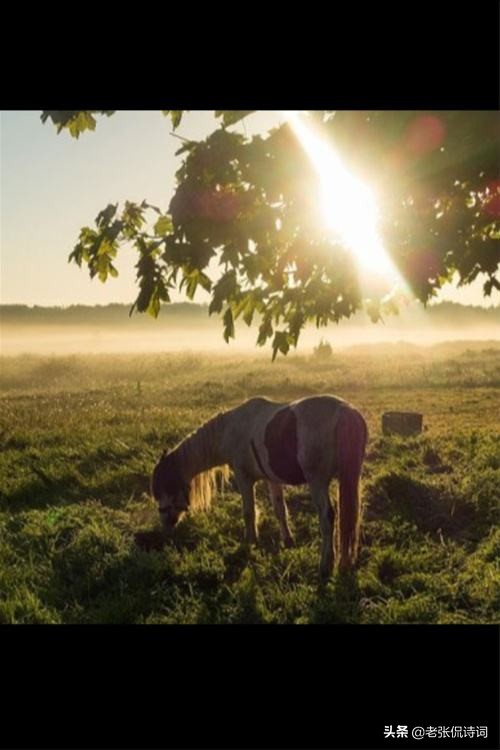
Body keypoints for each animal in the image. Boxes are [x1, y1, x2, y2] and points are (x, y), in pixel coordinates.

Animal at [151, 394, 368, 580]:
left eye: (165, 487)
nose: (165, 524)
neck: (230, 430)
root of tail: (345, 411)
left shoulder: (244, 478)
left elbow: (249, 512)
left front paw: (251, 542)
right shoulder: (272, 479)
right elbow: (280, 510)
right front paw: (288, 541)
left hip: (317, 482)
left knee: (327, 517)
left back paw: (325, 566)